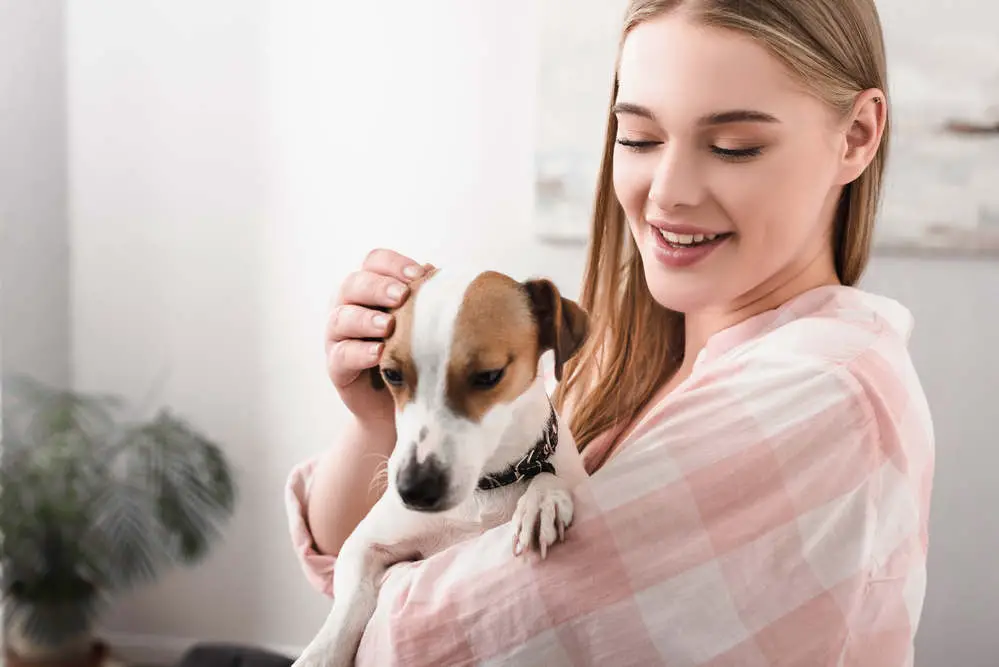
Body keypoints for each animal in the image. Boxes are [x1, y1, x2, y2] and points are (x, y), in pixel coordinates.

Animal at [294, 268, 592, 667]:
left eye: (489, 375)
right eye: (391, 374)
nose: (414, 490)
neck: (486, 486)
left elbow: (547, 476)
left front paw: (541, 500)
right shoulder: (362, 546)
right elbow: (348, 605)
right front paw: (321, 653)